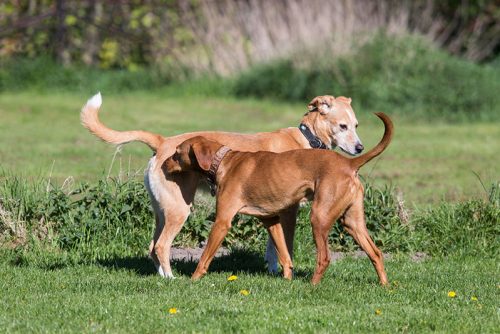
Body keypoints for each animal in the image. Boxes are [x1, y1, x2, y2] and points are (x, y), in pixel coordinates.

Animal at [81, 92, 364, 278]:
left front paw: (274, 269)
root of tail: (163, 142)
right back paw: (172, 279)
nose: (360, 147)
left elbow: (273, 248)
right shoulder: (289, 212)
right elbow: (286, 244)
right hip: (179, 210)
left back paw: (162, 277)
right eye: (342, 126)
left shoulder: (273, 212)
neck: (307, 138)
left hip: (163, 210)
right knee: (161, 246)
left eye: (356, 125)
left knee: (153, 246)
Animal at [166, 113, 392, 284]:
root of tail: (349, 164)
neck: (224, 162)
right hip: (352, 221)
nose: (163, 164)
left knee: (325, 258)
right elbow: (284, 255)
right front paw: (287, 280)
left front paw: (193, 279)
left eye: (177, 153)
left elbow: (205, 257)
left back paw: (312, 285)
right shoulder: (271, 220)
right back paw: (384, 285)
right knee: (376, 253)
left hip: (319, 218)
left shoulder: (222, 221)